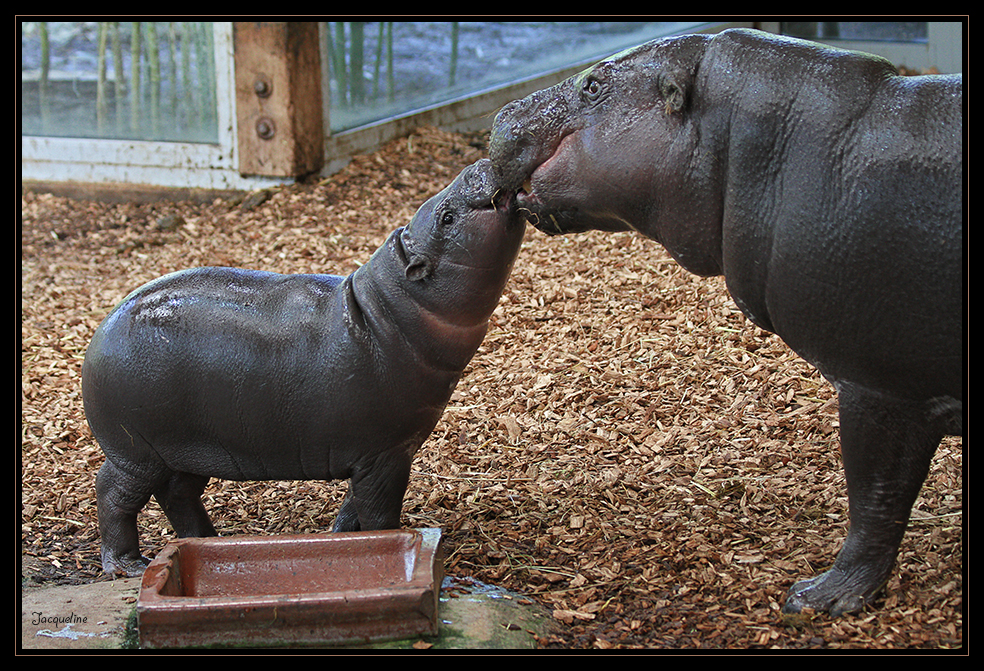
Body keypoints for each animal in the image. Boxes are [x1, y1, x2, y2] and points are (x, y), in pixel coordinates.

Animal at [83, 159, 528, 576]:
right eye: (447, 217)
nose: (481, 164)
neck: (395, 306)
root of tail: (101, 330)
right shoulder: (385, 453)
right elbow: (379, 511)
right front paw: (389, 543)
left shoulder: (378, 453)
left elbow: (353, 507)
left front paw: (340, 539)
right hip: (136, 452)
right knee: (112, 494)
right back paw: (127, 564)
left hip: (188, 450)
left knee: (177, 493)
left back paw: (208, 542)